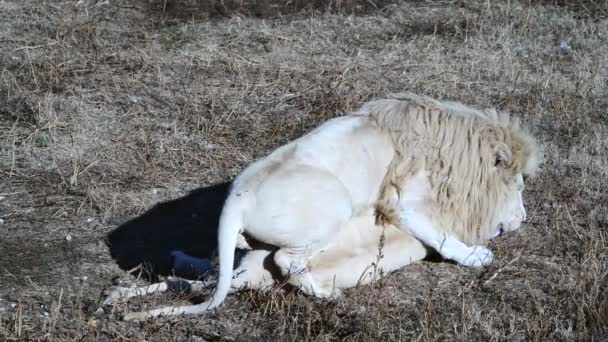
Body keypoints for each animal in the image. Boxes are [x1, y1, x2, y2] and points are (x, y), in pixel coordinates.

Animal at [109, 92, 540, 320]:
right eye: (519, 184)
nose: (523, 219)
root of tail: (236, 199)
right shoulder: (402, 200)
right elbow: (438, 232)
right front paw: (476, 257)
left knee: (208, 269)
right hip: (335, 205)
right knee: (285, 261)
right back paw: (327, 294)